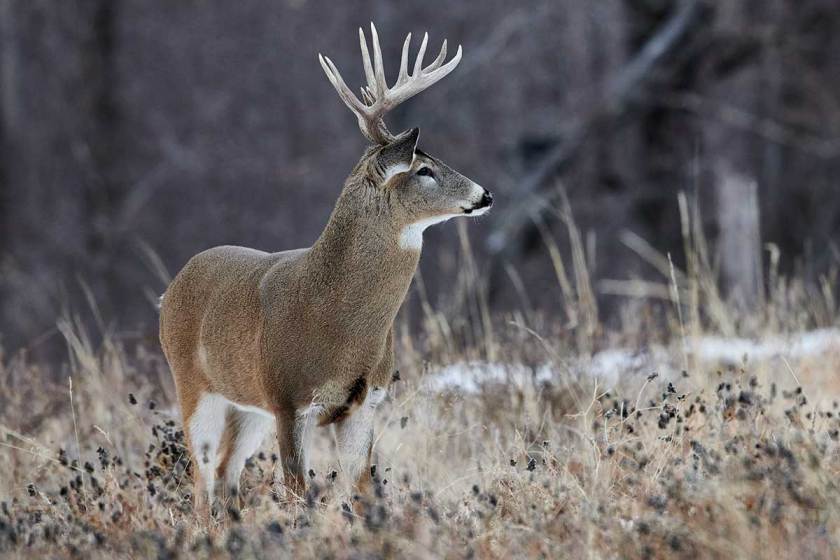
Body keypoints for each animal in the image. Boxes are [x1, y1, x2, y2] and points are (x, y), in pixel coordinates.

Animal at [158, 23, 493, 515]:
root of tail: (170, 288)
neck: (335, 321)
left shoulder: (366, 403)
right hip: (194, 385)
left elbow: (364, 490)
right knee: (200, 479)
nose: (485, 194)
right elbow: (298, 494)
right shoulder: (288, 399)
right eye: (423, 169)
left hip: (248, 405)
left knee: (224, 470)